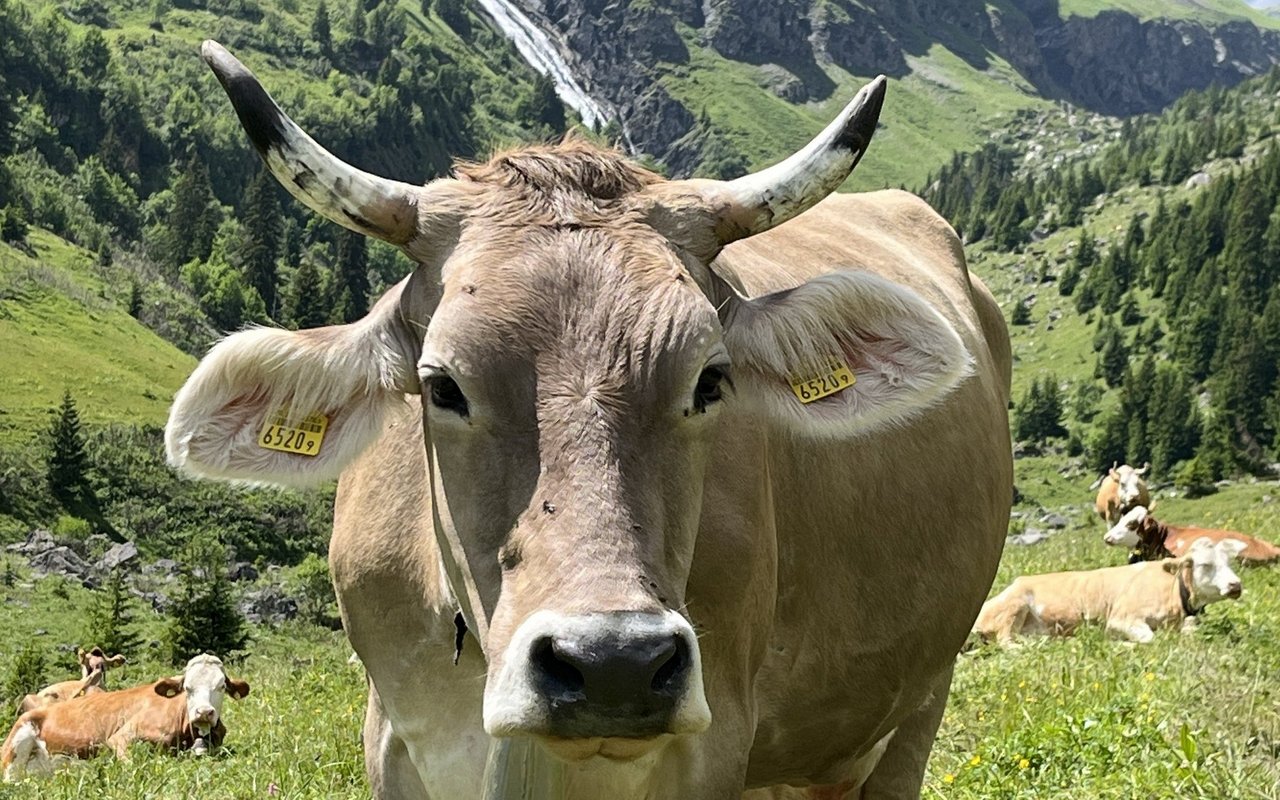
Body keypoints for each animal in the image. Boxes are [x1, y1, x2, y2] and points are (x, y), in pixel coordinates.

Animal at [1, 652, 249, 778]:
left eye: (221, 686)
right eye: (187, 688)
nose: (204, 712)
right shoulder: (121, 738)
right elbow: (134, 767)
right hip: (18, 742)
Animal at [165, 45, 1013, 798]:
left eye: (710, 379)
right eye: (441, 386)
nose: (614, 664)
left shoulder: (710, 749)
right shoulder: (397, 744)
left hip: (920, 698)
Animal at [972, 532, 1244, 645]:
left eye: (1229, 562)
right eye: (1205, 564)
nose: (1236, 585)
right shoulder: (1121, 618)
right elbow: (1148, 639)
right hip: (1014, 607)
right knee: (1006, 642)